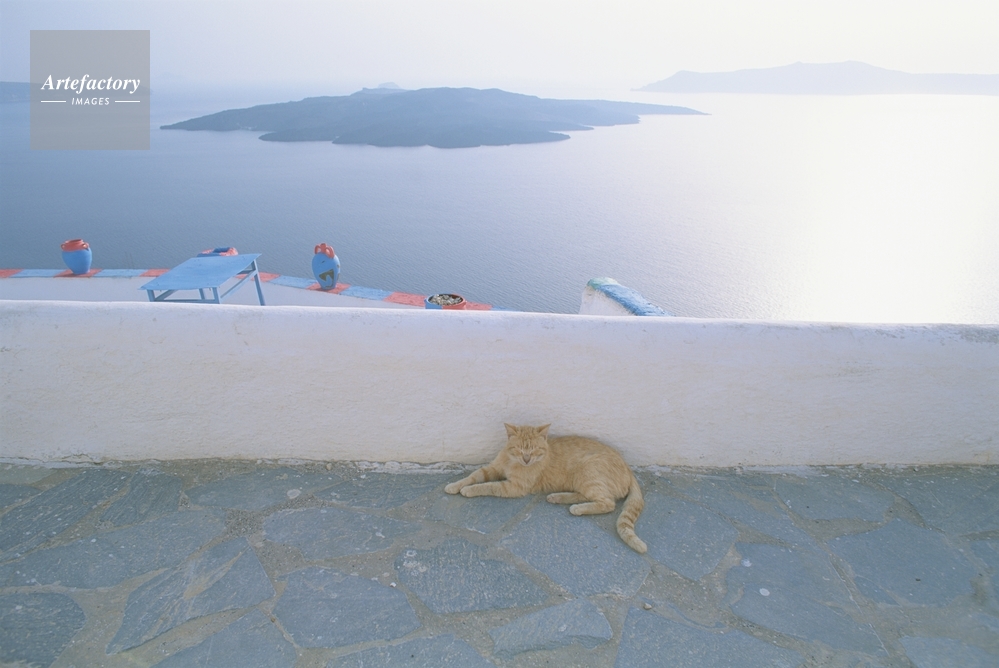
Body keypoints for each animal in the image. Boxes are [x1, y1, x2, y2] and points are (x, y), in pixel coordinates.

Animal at [445, 424, 647, 553]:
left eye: (534, 450)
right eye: (519, 449)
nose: (527, 459)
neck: (512, 461)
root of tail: (628, 467)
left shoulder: (514, 487)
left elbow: (488, 486)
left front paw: (470, 490)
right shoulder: (491, 469)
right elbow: (472, 476)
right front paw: (455, 485)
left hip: (587, 473)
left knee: (607, 503)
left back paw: (576, 508)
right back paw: (557, 497)